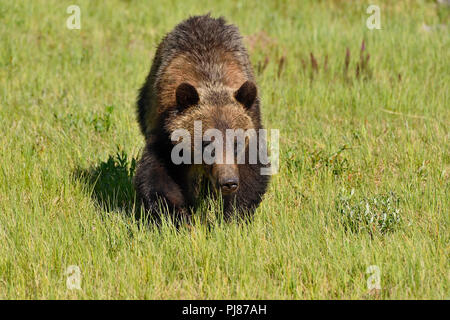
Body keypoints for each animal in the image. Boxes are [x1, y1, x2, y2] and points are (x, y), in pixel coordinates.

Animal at [133, 13, 268, 221]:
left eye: (236, 142)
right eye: (206, 142)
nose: (228, 182)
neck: (210, 79)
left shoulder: (252, 124)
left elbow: (251, 174)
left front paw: (233, 214)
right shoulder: (166, 132)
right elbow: (159, 176)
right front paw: (177, 215)